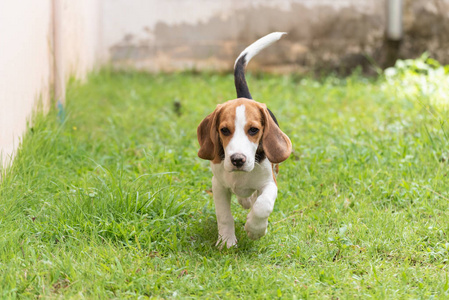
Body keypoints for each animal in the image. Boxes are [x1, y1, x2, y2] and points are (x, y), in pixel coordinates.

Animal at [196, 32, 290, 248]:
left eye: (254, 130)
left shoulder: (270, 182)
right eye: (224, 130)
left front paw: (255, 229)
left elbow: (263, 205)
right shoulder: (218, 185)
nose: (238, 160)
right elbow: (224, 215)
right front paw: (226, 241)